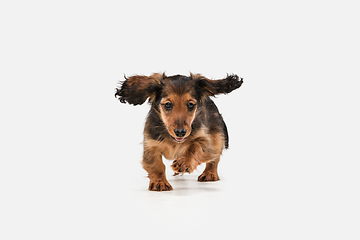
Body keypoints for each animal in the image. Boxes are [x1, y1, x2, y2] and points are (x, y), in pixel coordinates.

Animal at [115, 72, 243, 191]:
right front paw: (160, 182)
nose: (180, 132)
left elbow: (195, 147)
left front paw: (183, 163)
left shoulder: (205, 140)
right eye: (167, 104)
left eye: (190, 104)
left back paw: (209, 173)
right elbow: (157, 165)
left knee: (214, 158)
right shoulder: (151, 144)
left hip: (216, 137)